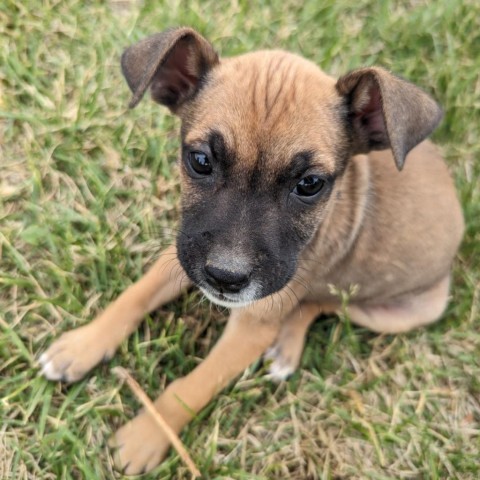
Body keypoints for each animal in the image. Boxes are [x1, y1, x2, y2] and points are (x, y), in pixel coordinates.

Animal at [39, 28, 464, 474]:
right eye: (200, 160)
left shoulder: (250, 327)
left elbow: (192, 386)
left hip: (399, 312)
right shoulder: (184, 252)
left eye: (310, 184)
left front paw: (145, 437)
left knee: (323, 303)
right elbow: (134, 295)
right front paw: (81, 345)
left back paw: (286, 346)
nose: (225, 278)